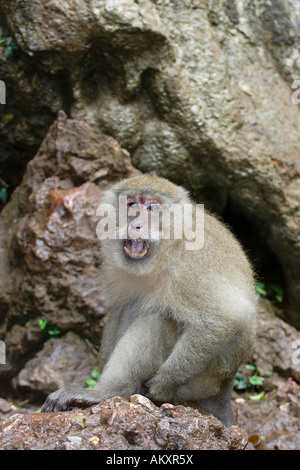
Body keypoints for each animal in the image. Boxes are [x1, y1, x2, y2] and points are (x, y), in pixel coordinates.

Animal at [42, 173, 258, 426]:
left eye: (152, 208)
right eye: (132, 204)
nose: (136, 224)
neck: (167, 248)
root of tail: (225, 386)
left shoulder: (193, 260)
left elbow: (228, 318)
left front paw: (165, 382)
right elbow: (119, 308)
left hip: (202, 380)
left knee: (158, 319)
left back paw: (107, 392)